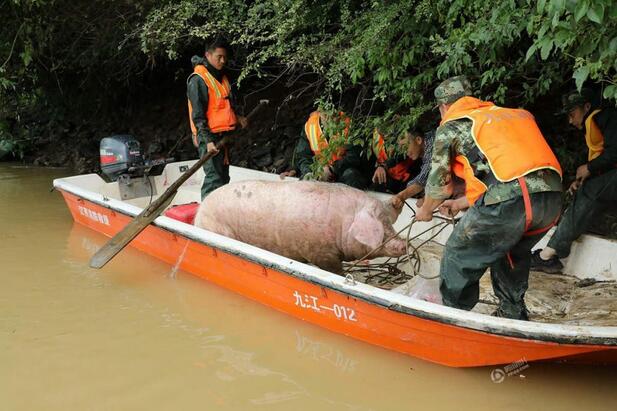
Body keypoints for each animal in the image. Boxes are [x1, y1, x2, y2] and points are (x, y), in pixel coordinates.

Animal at [195, 181, 406, 274]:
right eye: (381, 223)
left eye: (389, 221)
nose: (404, 244)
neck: (344, 223)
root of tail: (199, 214)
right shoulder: (318, 251)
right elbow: (334, 270)